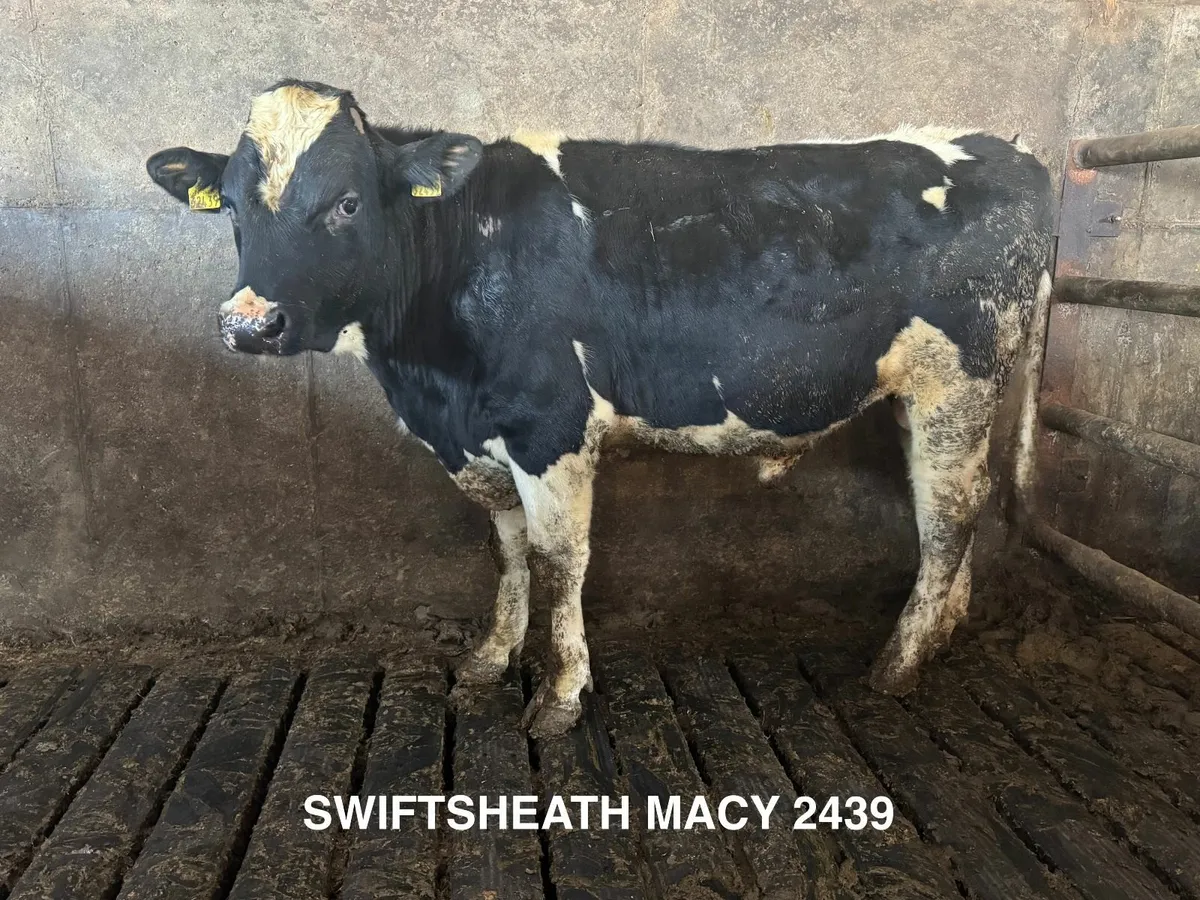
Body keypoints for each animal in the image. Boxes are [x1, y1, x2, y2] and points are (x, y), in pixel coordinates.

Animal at [147, 79, 1053, 738]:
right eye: (234, 207)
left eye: (345, 203)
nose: (249, 323)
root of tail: (1010, 149)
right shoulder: (478, 441)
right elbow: (507, 551)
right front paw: (489, 659)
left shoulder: (550, 426)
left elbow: (559, 560)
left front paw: (558, 694)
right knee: (962, 509)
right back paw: (943, 631)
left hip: (958, 384)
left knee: (946, 518)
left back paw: (898, 664)